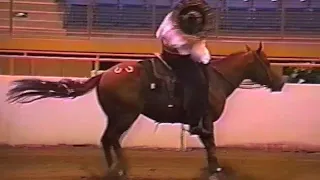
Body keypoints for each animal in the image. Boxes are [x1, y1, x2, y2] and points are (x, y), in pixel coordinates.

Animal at [6, 43, 284, 179]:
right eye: (267, 62)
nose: (281, 83)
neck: (216, 79)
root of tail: (106, 73)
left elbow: (209, 146)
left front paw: (214, 169)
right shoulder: (206, 121)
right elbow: (211, 145)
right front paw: (217, 171)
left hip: (116, 115)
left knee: (107, 140)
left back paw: (116, 169)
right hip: (126, 115)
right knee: (111, 139)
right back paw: (120, 169)